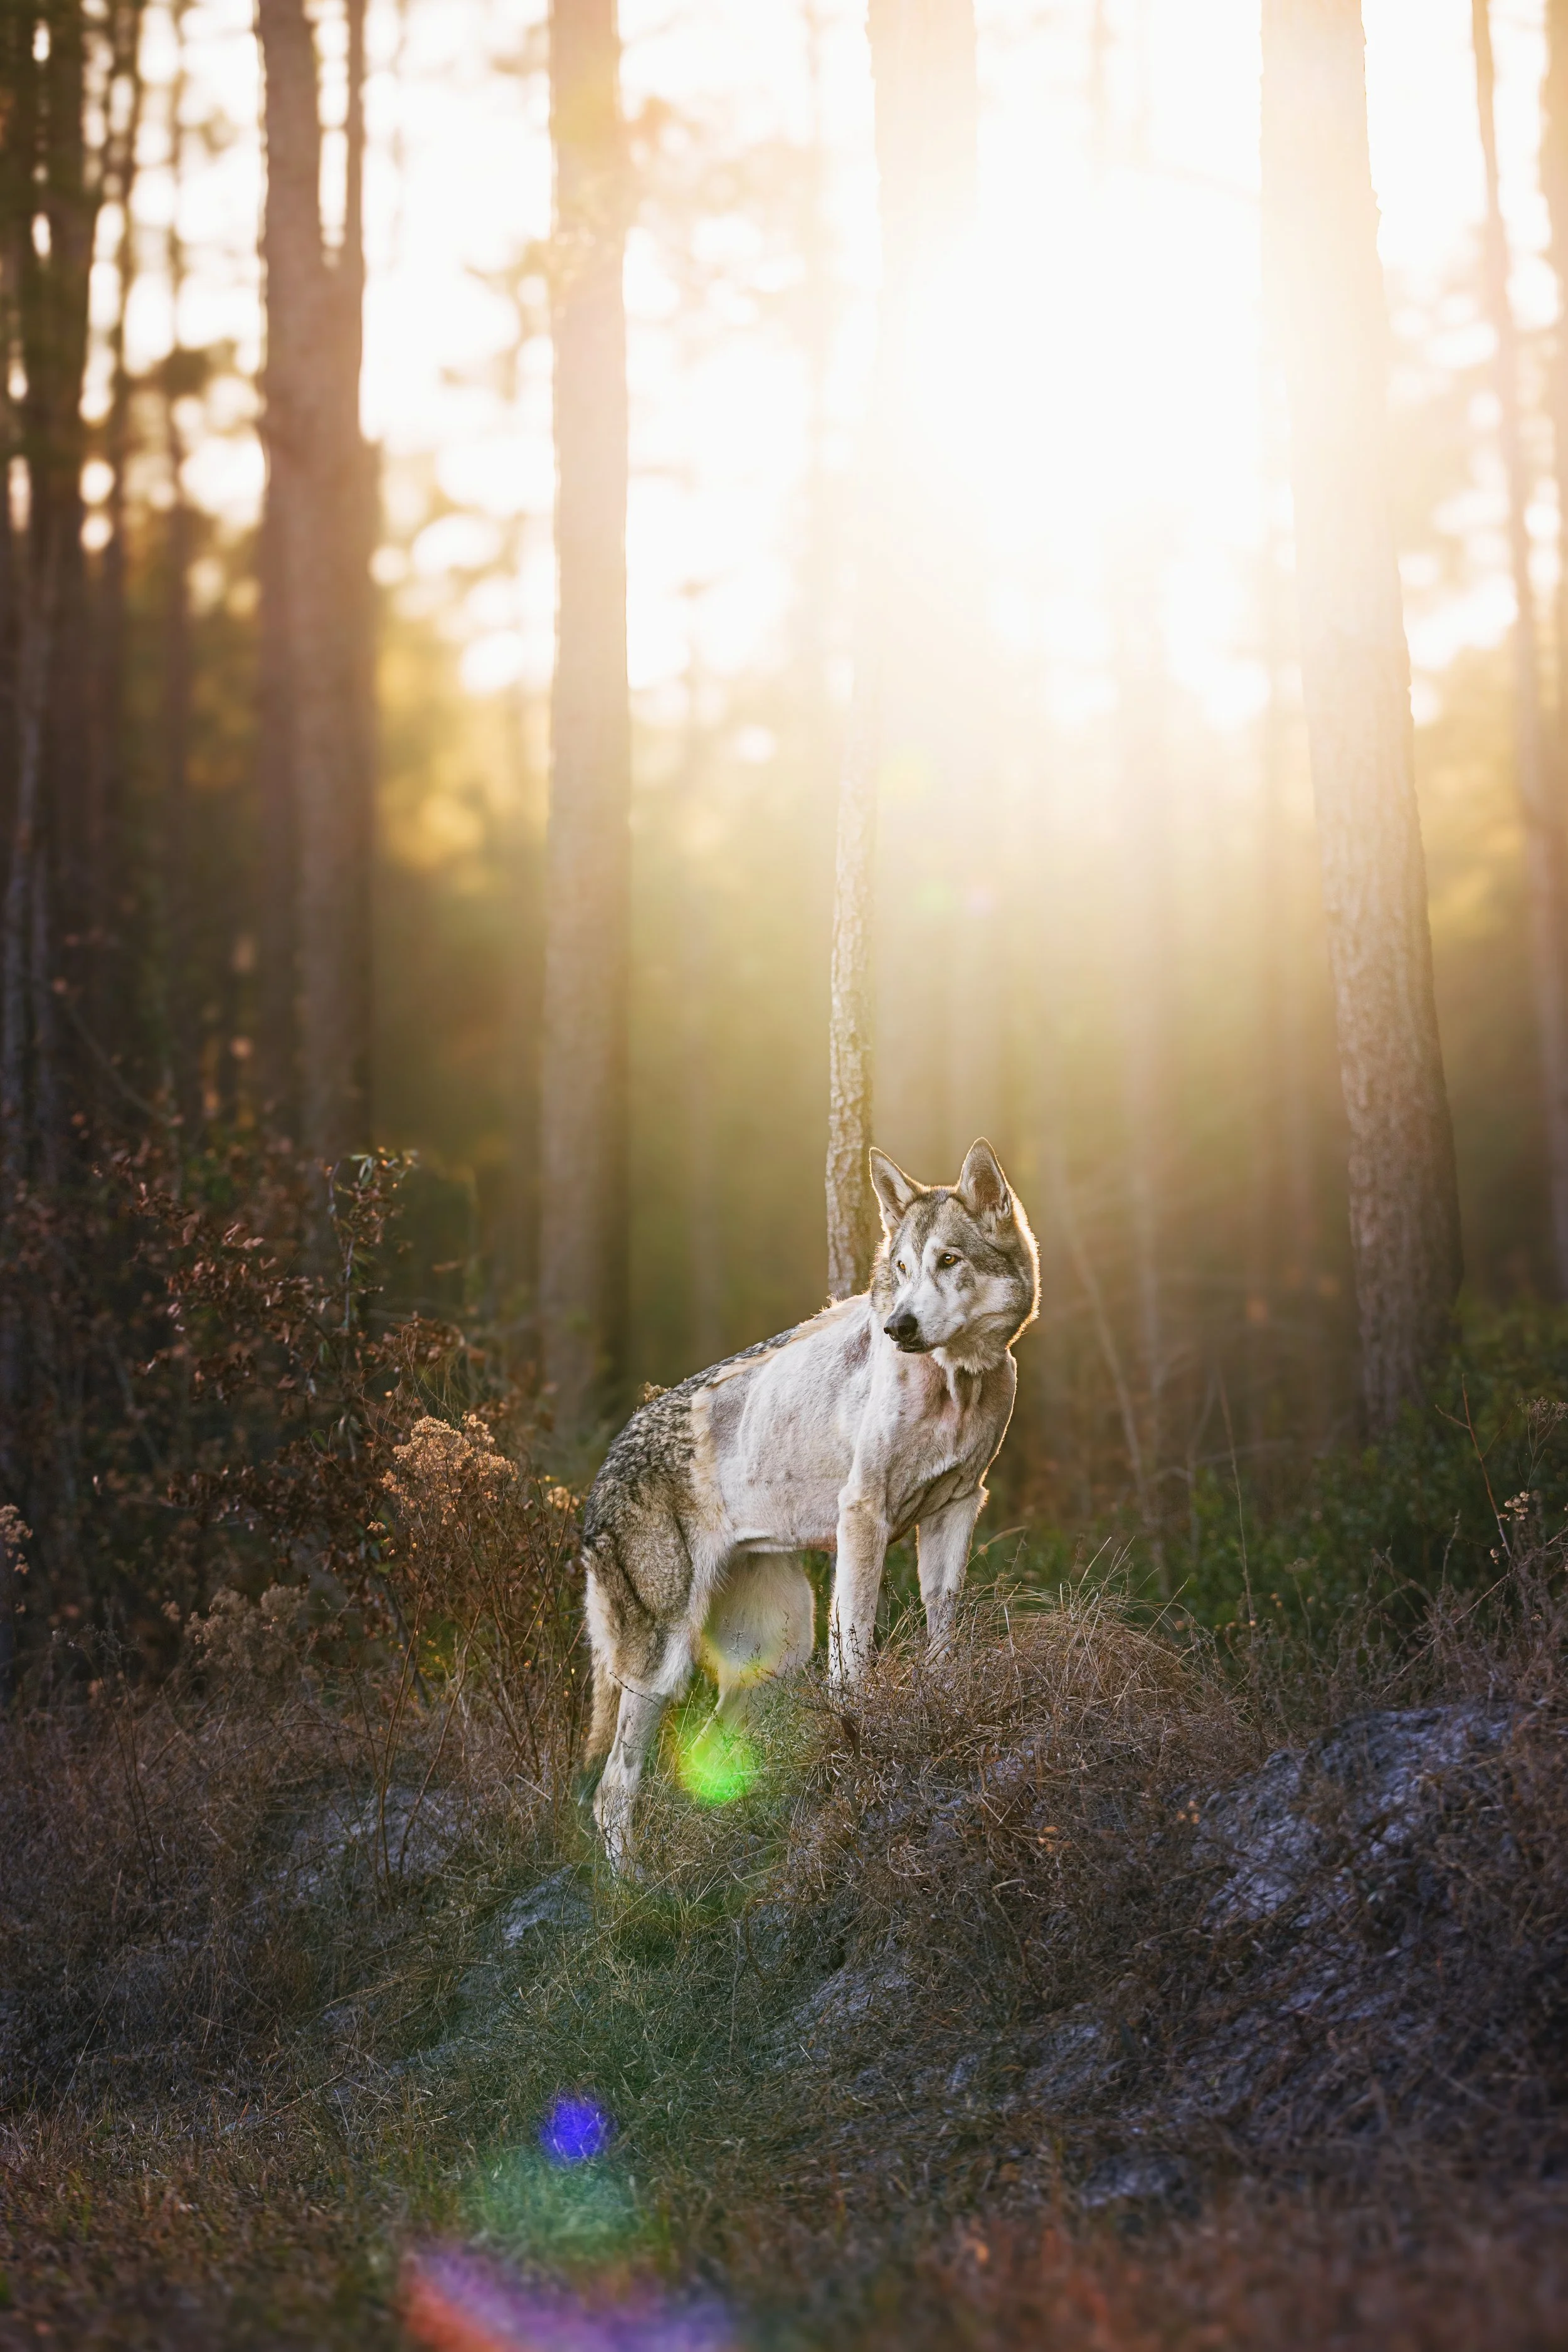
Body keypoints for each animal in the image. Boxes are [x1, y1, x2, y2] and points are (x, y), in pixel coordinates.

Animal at [580, 1138, 1039, 1865]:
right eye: (902, 1268)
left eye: (948, 1261)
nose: (899, 1326)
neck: (953, 1384)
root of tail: (600, 1475)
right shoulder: (865, 1519)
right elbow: (852, 1661)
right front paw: (860, 1743)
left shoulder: (959, 1506)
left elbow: (943, 1624)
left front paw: (941, 1701)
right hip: (660, 1668)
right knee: (611, 1792)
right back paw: (631, 1888)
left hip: (778, 1646)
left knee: (705, 1753)